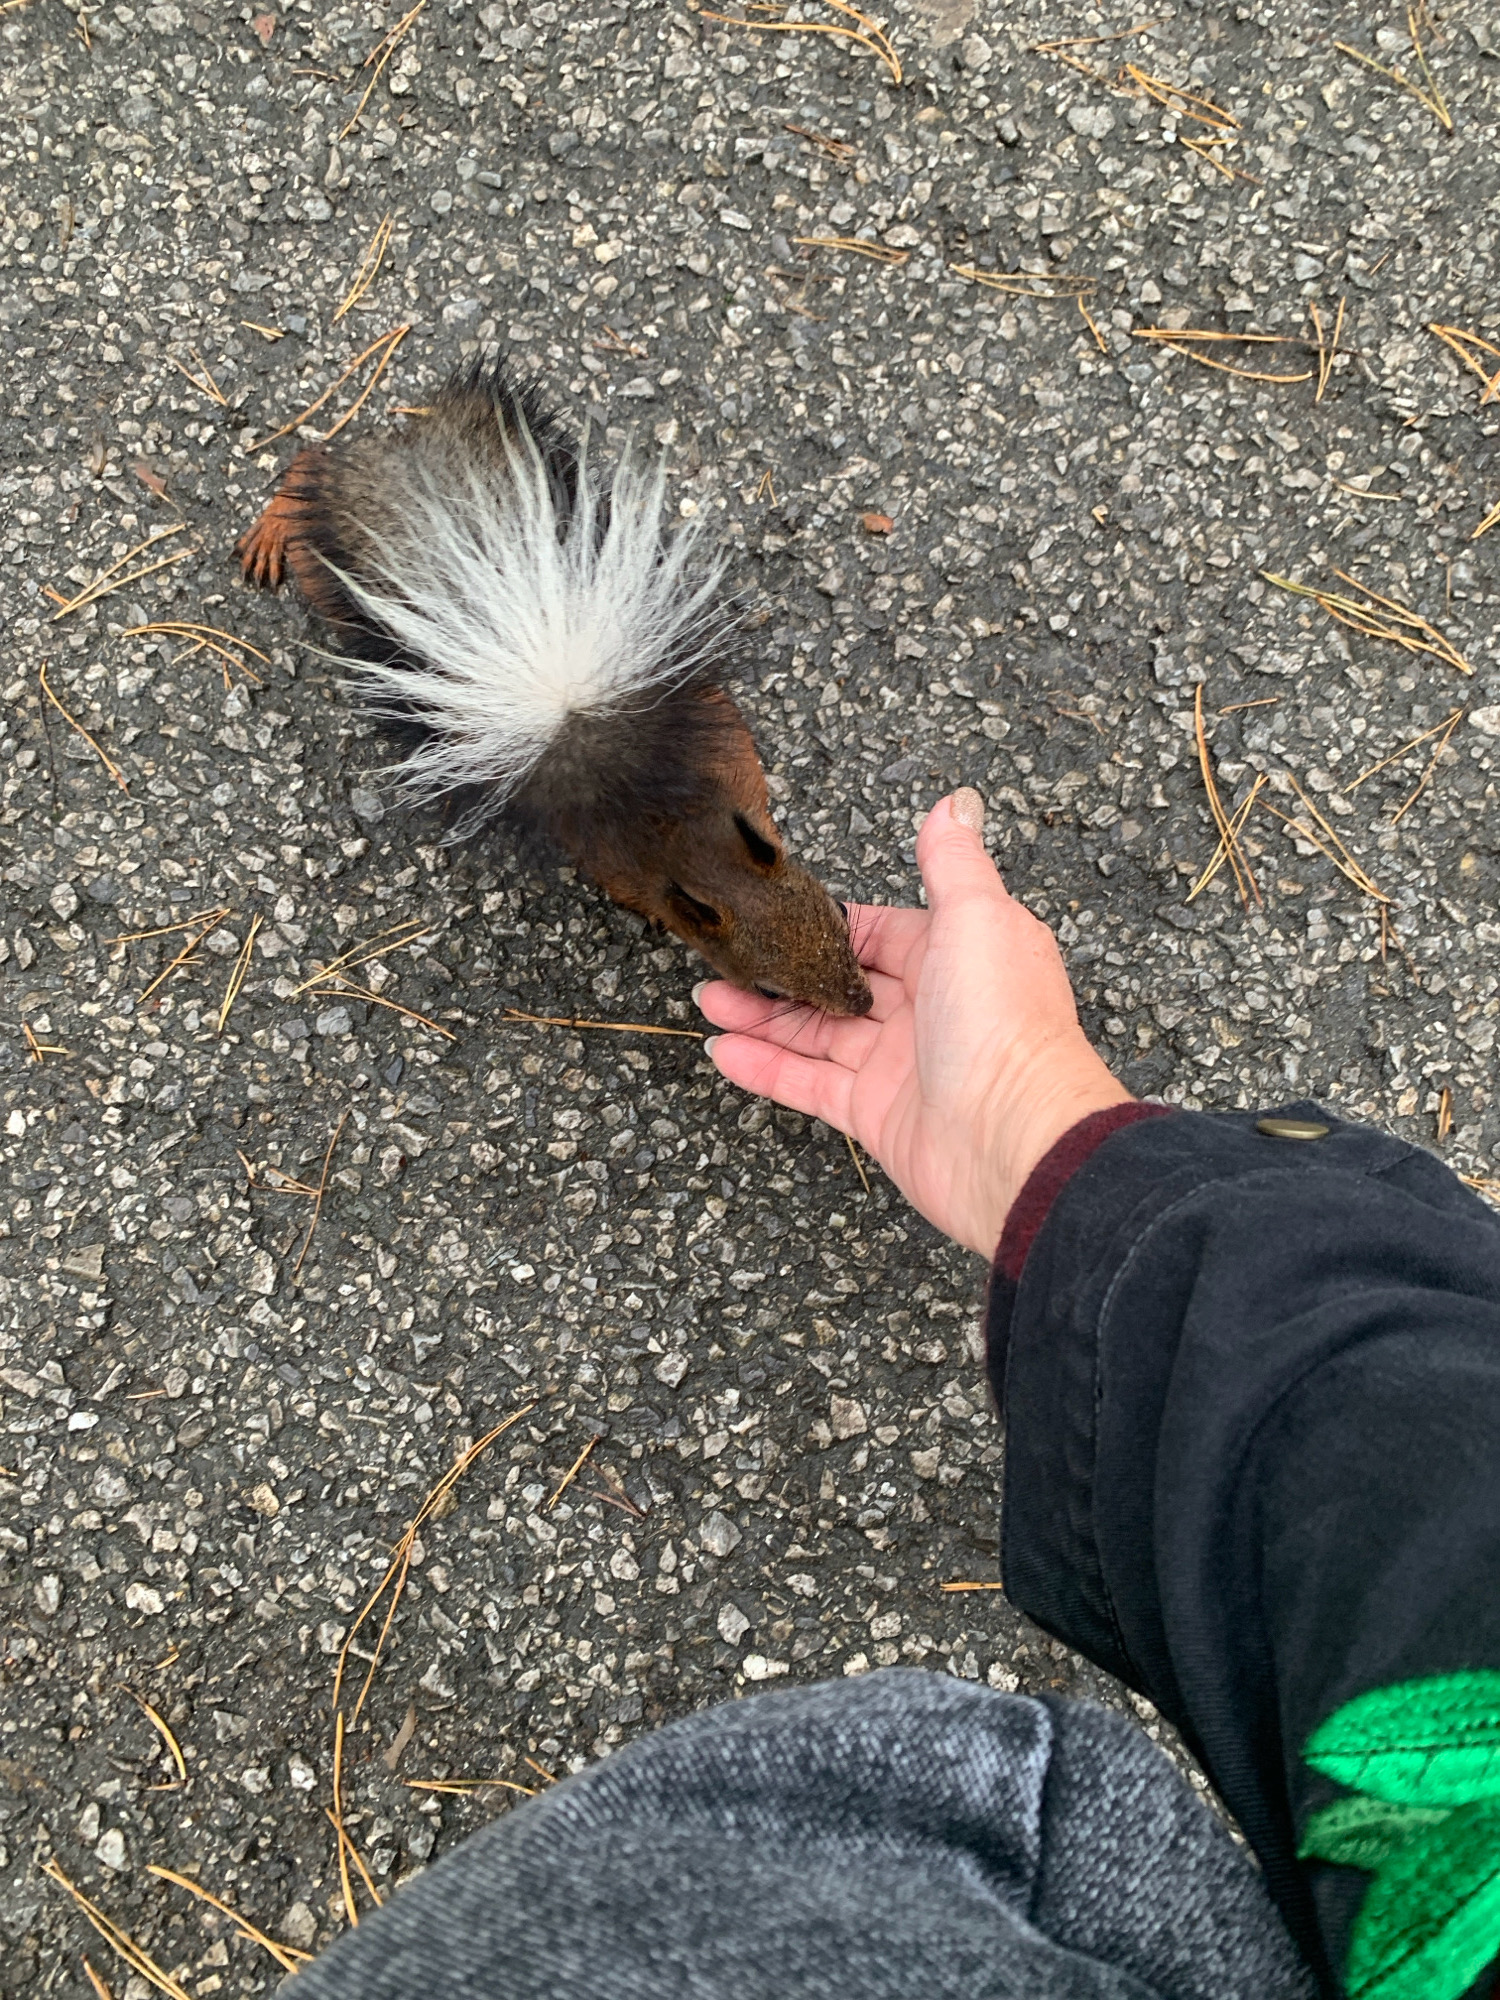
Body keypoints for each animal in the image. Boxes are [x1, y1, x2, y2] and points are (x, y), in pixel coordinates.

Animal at [235, 357, 872, 1018]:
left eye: (836, 909)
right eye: (768, 990)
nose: (863, 1002)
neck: (683, 825)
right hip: (327, 558)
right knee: (309, 462)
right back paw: (270, 528)